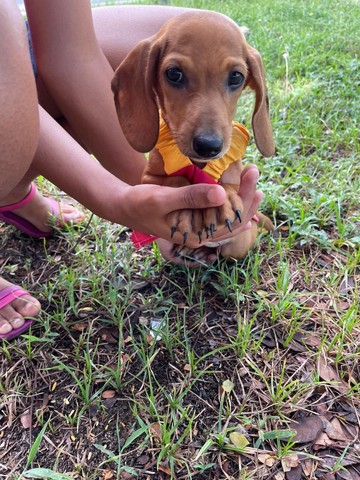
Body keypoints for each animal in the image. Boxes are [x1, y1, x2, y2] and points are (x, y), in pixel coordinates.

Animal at [112, 10, 276, 258]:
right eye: (173, 73)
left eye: (236, 77)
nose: (208, 146)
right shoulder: (147, 180)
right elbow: (177, 179)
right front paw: (186, 211)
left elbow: (227, 182)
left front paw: (224, 199)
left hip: (238, 246)